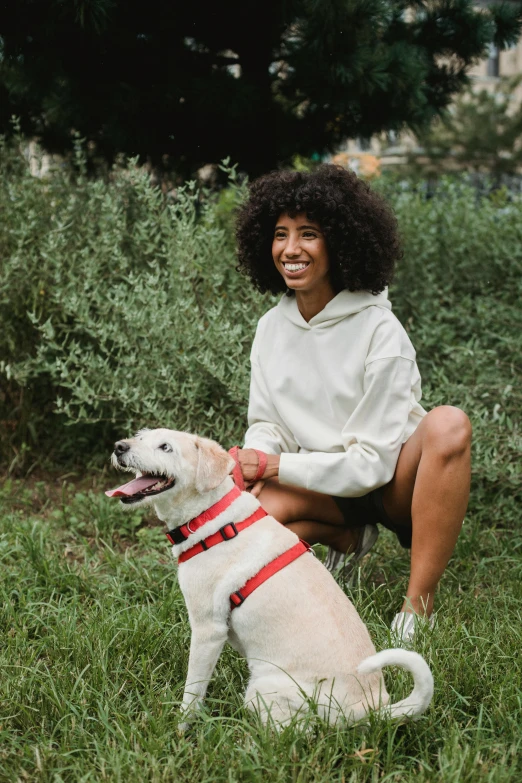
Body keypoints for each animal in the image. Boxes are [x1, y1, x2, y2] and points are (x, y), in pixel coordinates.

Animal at [105, 428, 430, 728]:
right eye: (140, 437)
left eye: (166, 447)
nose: (119, 446)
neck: (210, 515)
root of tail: (372, 708)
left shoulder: (208, 630)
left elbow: (192, 693)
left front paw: (181, 731)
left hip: (263, 688)